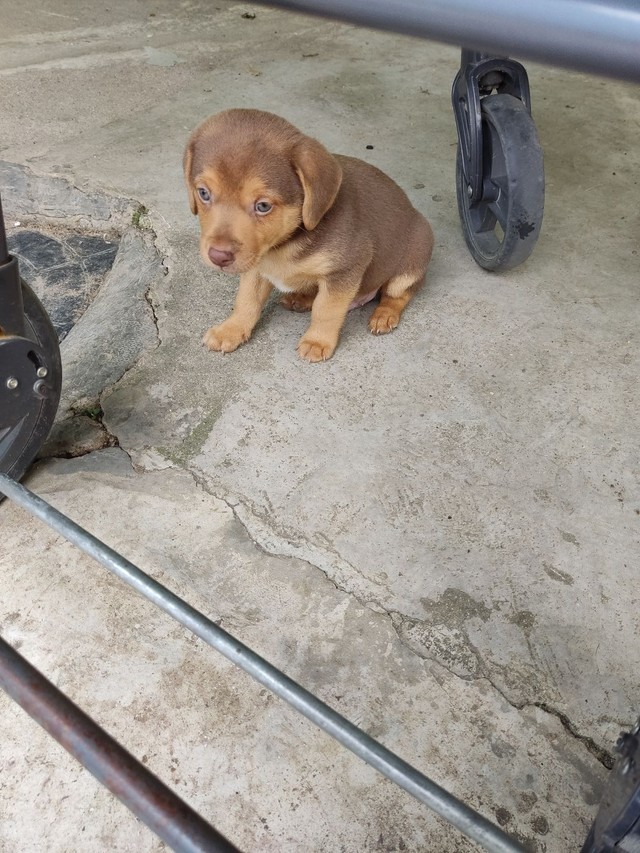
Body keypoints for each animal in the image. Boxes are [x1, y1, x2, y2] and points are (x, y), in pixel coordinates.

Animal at [185, 108, 436, 362]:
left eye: (263, 206)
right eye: (203, 193)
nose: (218, 256)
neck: (283, 243)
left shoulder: (346, 268)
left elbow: (326, 309)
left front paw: (317, 341)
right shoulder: (255, 268)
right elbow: (246, 300)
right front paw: (231, 329)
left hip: (411, 261)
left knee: (398, 294)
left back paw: (383, 315)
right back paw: (301, 298)